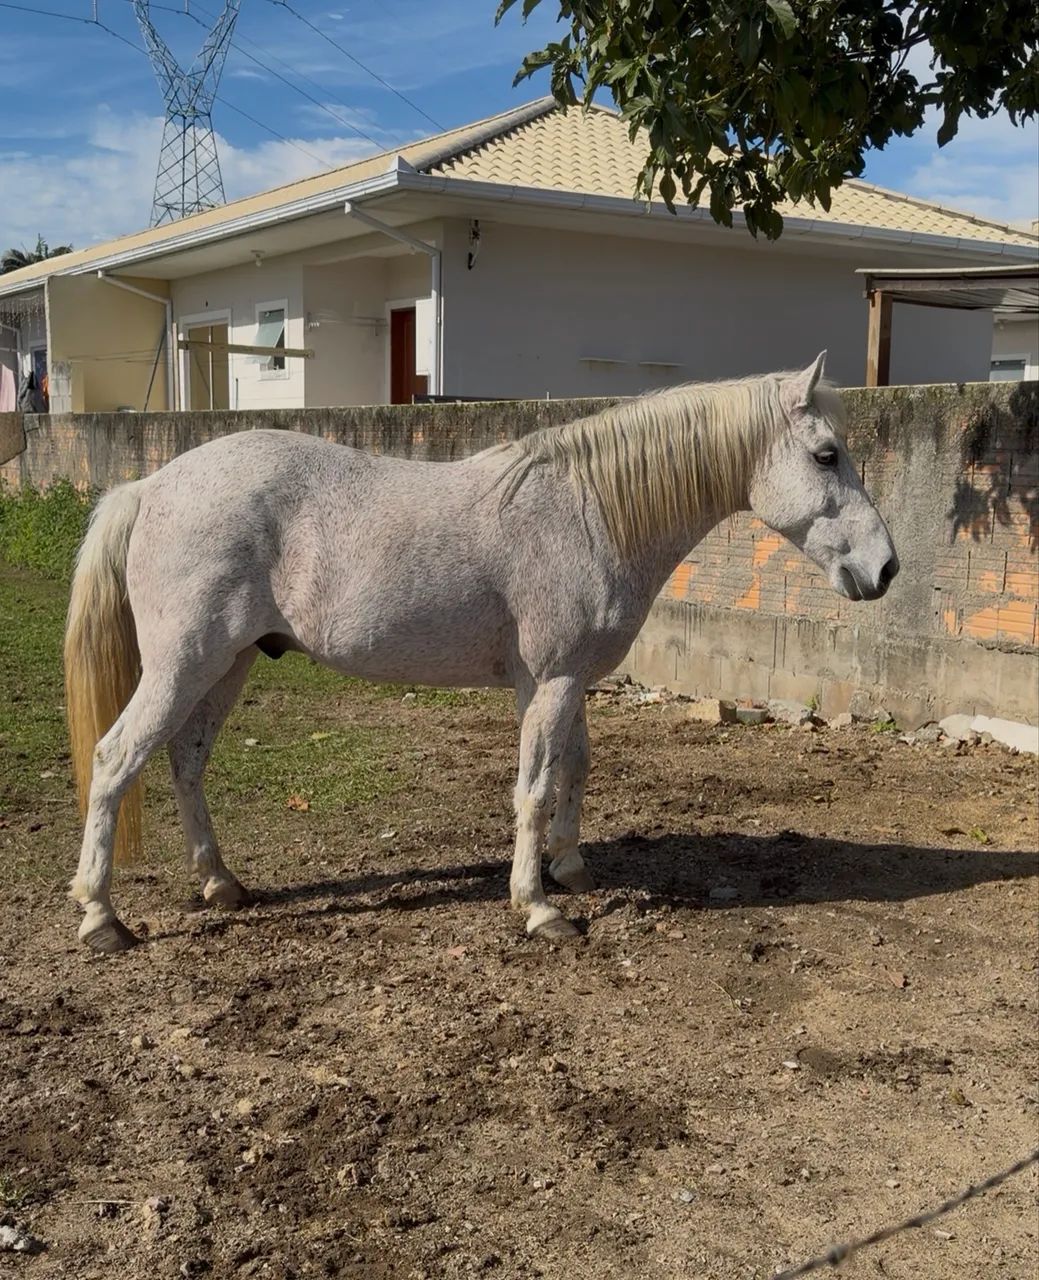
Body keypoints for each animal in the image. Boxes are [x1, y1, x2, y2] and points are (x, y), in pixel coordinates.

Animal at [64, 352, 898, 954]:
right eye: (826, 455)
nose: (885, 569)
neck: (589, 510)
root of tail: (150, 487)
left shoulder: (562, 681)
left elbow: (574, 768)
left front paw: (568, 867)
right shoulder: (553, 680)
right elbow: (533, 788)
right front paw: (537, 908)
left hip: (227, 663)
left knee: (185, 762)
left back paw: (220, 882)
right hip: (185, 663)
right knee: (116, 759)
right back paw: (101, 918)